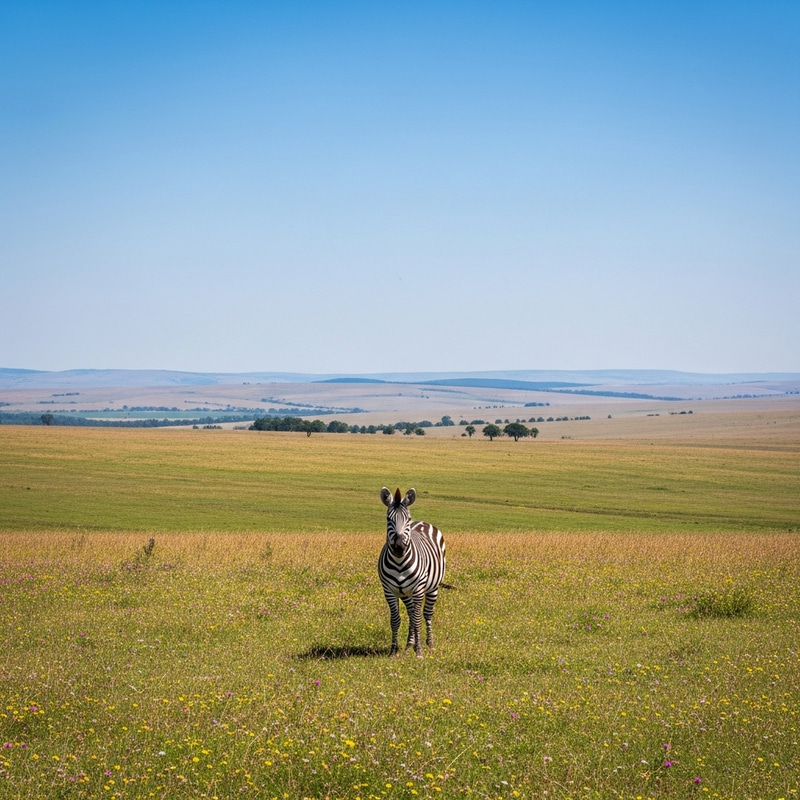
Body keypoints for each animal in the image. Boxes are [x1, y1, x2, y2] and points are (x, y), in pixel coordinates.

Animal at [378, 487, 446, 657]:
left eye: (407, 519)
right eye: (388, 519)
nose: (399, 547)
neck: (399, 563)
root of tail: (422, 522)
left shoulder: (418, 589)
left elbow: (417, 620)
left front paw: (419, 651)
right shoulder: (389, 590)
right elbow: (395, 620)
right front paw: (393, 651)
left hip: (432, 588)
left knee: (426, 614)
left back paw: (429, 644)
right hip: (405, 593)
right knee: (410, 613)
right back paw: (410, 644)